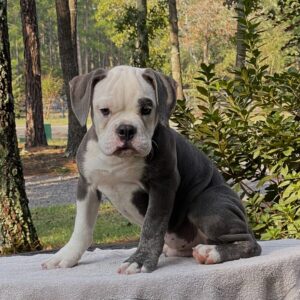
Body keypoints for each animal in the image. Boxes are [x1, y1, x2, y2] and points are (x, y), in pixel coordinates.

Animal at [41, 65, 262, 274]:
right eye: (104, 110)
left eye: (147, 109)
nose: (126, 129)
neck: (119, 161)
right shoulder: (87, 185)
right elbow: (82, 227)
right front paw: (66, 256)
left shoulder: (162, 184)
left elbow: (152, 225)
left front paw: (139, 261)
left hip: (208, 203)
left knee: (250, 243)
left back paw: (211, 252)